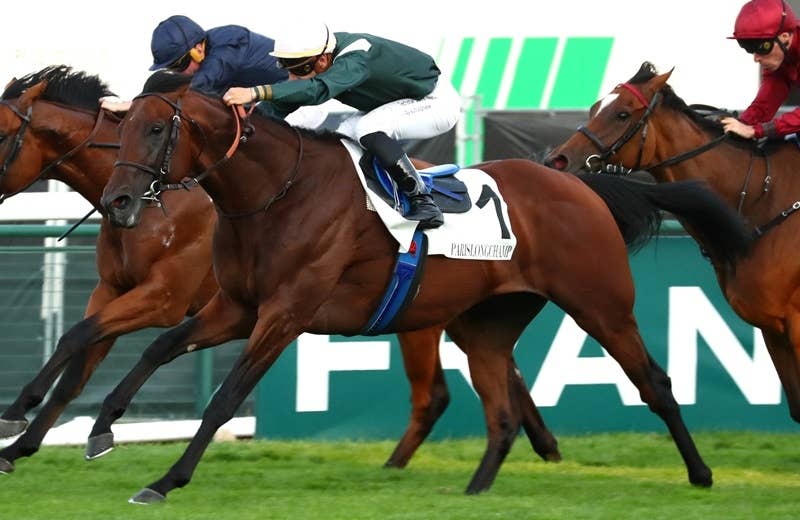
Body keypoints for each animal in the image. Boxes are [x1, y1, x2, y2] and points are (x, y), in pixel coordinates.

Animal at [0, 65, 560, 476]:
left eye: (3, 133)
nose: (118, 203)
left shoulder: (163, 299)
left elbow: (78, 336)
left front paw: (15, 414)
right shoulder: (114, 288)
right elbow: (76, 361)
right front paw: (23, 444)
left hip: (422, 317)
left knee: (442, 391)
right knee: (498, 365)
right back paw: (541, 445)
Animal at [97, 70, 751, 503]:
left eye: (154, 129)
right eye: (119, 129)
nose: (118, 202)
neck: (277, 191)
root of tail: (582, 185)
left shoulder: (285, 313)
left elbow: (227, 396)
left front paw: (164, 480)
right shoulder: (236, 305)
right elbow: (160, 348)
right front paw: (102, 430)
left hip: (602, 306)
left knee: (655, 385)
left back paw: (700, 475)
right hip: (484, 326)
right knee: (500, 413)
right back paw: (475, 490)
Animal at [544, 60, 800, 425]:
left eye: (622, 114)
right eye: (595, 108)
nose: (559, 160)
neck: (763, 198)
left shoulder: (794, 325)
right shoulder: (773, 328)